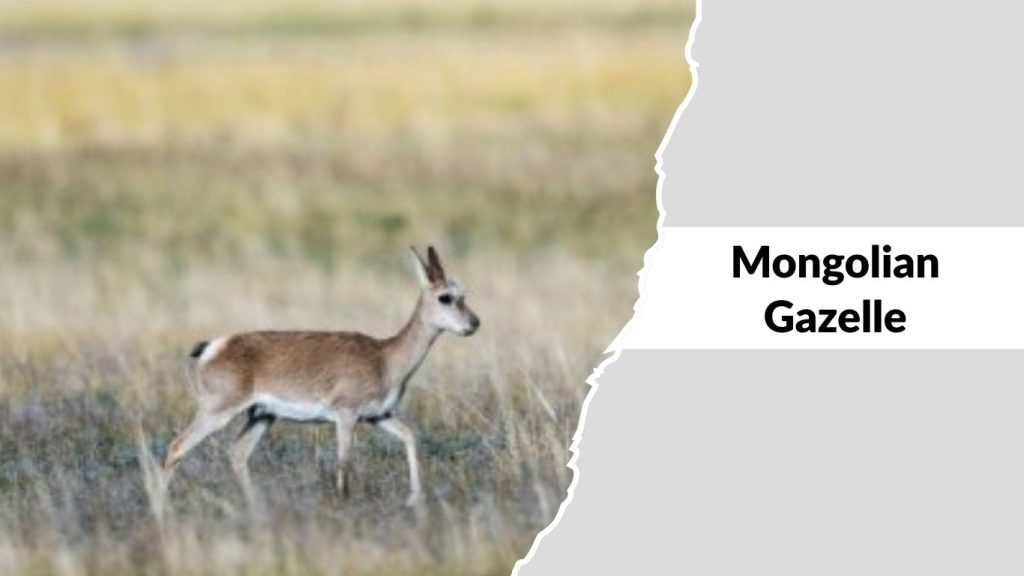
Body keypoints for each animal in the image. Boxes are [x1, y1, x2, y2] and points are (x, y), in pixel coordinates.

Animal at [162, 246, 480, 507]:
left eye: (463, 295)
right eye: (445, 297)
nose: (474, 323)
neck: (384, 356)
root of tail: (214, 346)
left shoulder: (379, 417)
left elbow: (410, 437)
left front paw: (414, 498)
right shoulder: (346, 415)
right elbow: (344, 462)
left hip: (262, 416)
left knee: (237, 455)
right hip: (218, 413)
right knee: (177, 447)